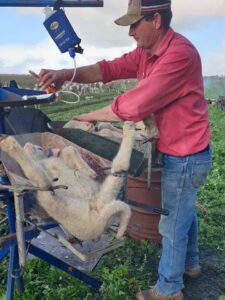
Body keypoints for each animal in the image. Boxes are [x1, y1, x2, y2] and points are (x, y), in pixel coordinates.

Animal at [0, 120, 135, 240]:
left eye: (39, 148)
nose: (27, 144)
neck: (43, 161)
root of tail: (101, 220)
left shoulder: (62, 161)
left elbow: (69, 149)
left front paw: (88, 171)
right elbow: (67, 150)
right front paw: (88, 171)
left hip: (108, 188)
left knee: (120, 165)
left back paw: (128, 130)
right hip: (50, 197)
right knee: (41, 180)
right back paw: (9, 145)